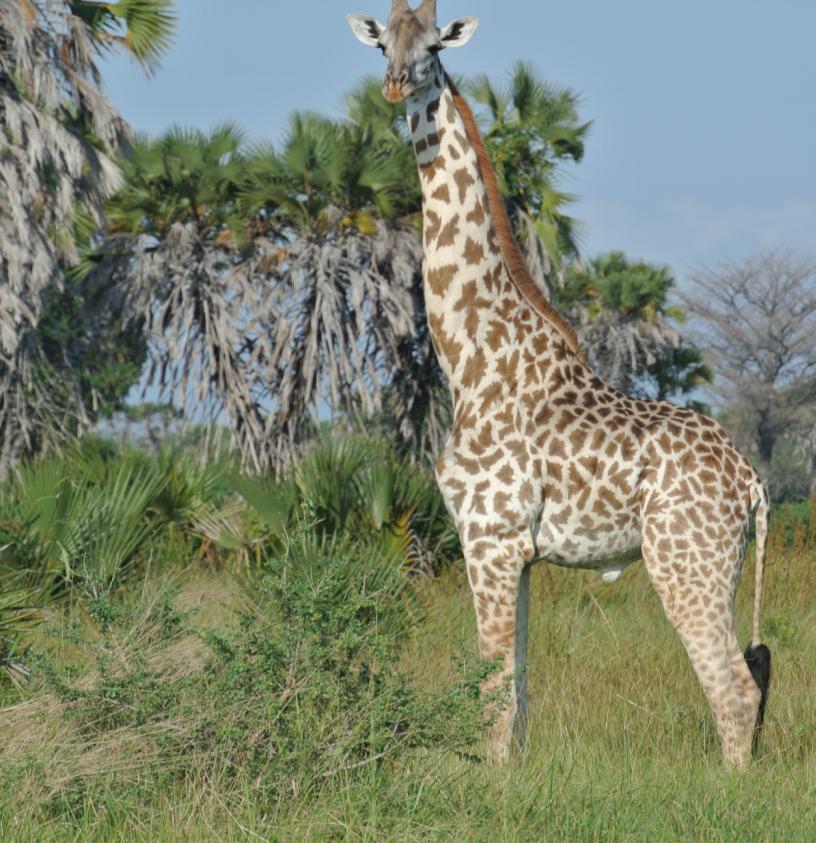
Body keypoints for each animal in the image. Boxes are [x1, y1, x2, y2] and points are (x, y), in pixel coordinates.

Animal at [344, 0, 772, 768]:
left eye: (434, 46)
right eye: (381, 44)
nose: (395, 85)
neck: (472, 359)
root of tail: (751, 482)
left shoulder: (489, 537)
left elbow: (489, 688)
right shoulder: (518, 553)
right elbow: (516, 693)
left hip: (684, 560)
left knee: (733, 686)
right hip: (720, 565)